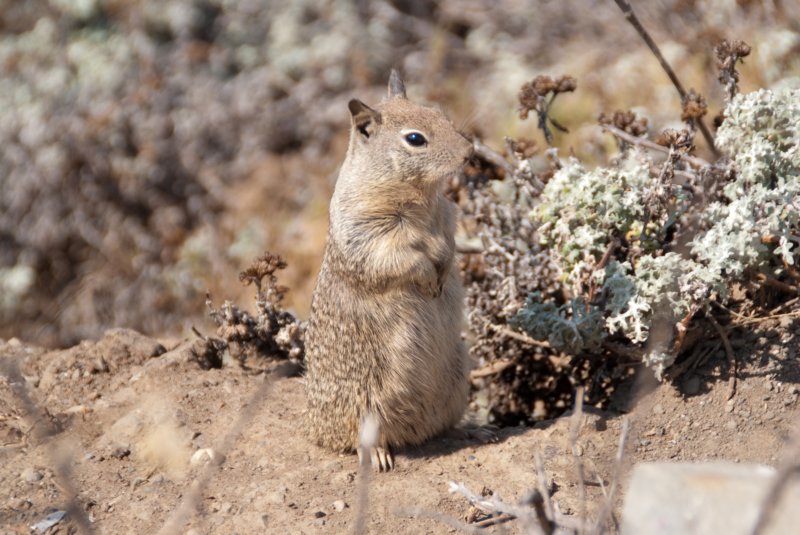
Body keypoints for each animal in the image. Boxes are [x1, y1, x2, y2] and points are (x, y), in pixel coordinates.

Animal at [304, 72, 472, 474]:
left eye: (440, 114)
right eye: (415, 139)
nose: (469, 152)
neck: (422, 197)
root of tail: (314, 428)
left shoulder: (447, 216)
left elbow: (448, 244)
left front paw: (444, 269)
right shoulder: (372, 237)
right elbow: (402, 259)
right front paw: (428, 278)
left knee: (440, 427)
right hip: (365, 402)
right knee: (361, 439)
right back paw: (379, 455)